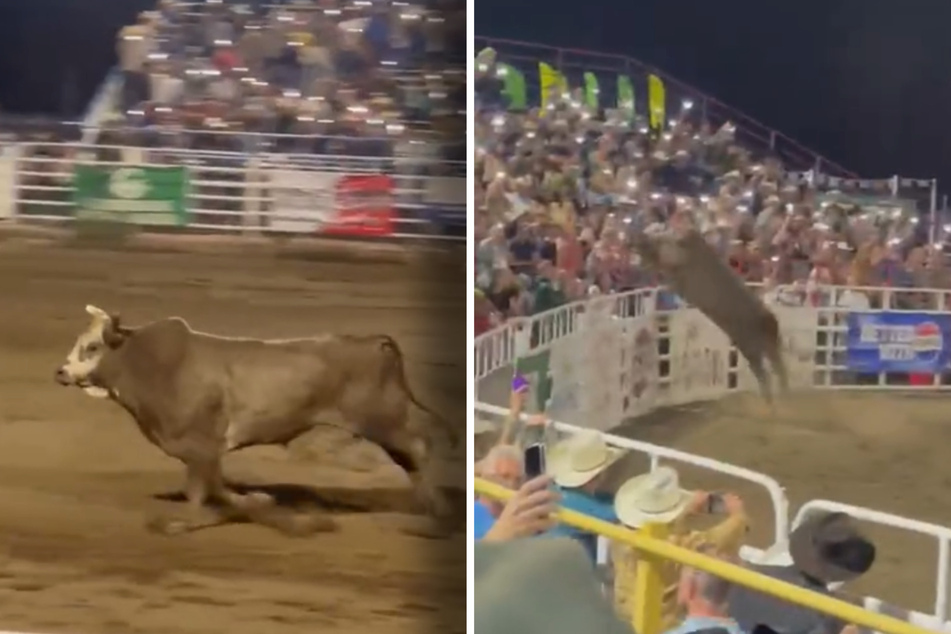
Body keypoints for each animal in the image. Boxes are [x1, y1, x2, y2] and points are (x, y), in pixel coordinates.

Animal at [54, 304, 458, 532]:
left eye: (91, 347)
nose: (61, 372)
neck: (155, 366)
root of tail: (375, 341)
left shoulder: (204, 446)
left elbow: (207, 489)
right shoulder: (198, 452)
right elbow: (208, 488)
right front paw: (257, 501)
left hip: (382, 420)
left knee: (419, 448)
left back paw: (439, 513)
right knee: (410, 459)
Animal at [632, 228, 788, 400]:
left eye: (659, 240)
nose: (638, 241)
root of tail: (769, 320)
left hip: (752, 347)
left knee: (767, 373)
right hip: (759, 346)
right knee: (776, 368)